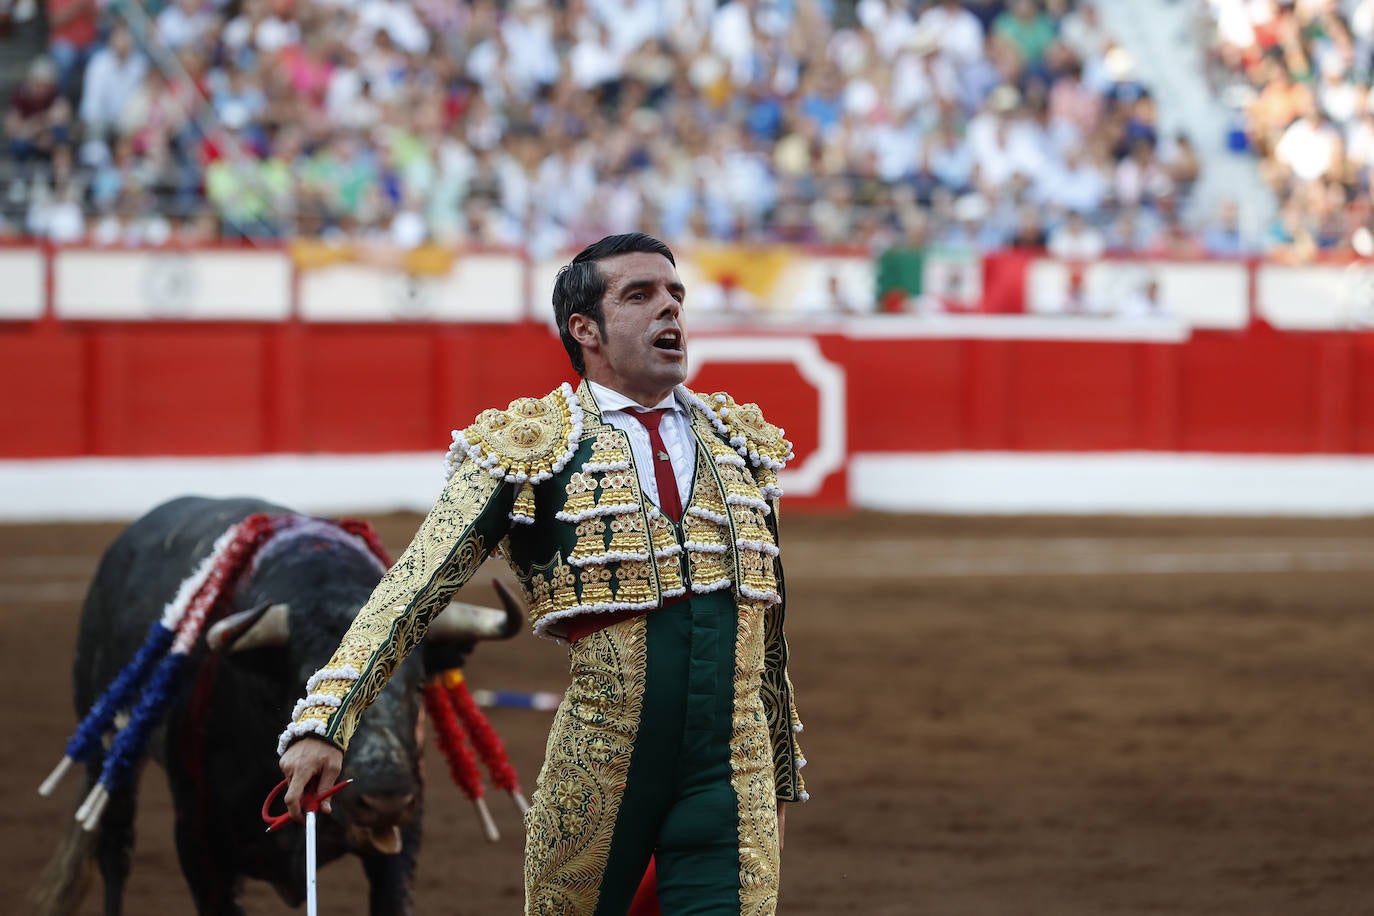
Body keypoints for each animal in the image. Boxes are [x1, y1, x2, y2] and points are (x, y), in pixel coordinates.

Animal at [37, 497, 522, 911]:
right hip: (106, 749)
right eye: (298, 691)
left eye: (421, 686)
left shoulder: (403, 836)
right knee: (114, 851)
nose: (384, 800)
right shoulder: (198, 842)